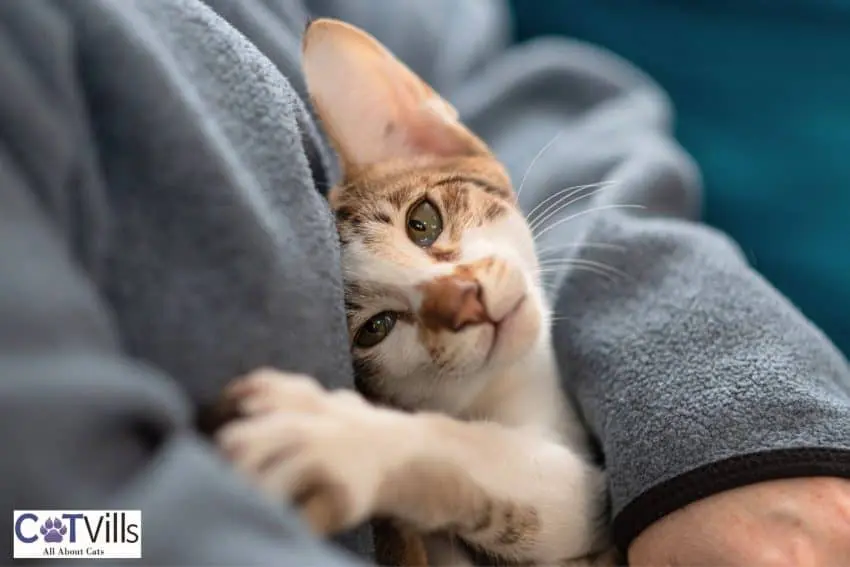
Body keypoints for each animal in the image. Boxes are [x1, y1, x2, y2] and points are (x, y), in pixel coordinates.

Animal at [212, 17, 608, 567]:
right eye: (375, 328)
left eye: (423, 222)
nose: (466, 299)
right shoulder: (585, 505)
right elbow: (499, 465)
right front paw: (346, 438)